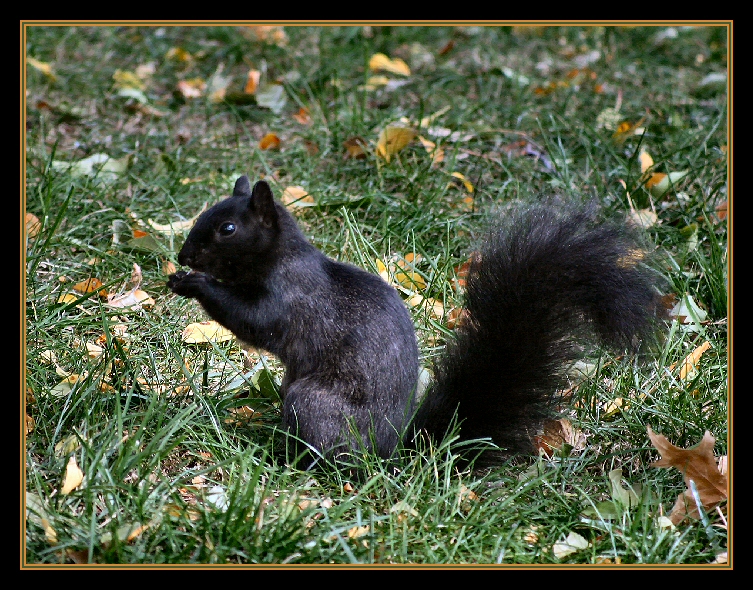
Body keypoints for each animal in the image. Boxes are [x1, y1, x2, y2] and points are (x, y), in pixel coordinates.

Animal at [166, 176, 656, 468]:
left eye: (228, 229)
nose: (184, 256)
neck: (280, 258)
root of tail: (391, 451)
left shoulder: (290, 299)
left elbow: (252, 321)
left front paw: (195, 284)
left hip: (313, 404)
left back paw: (288, 459)